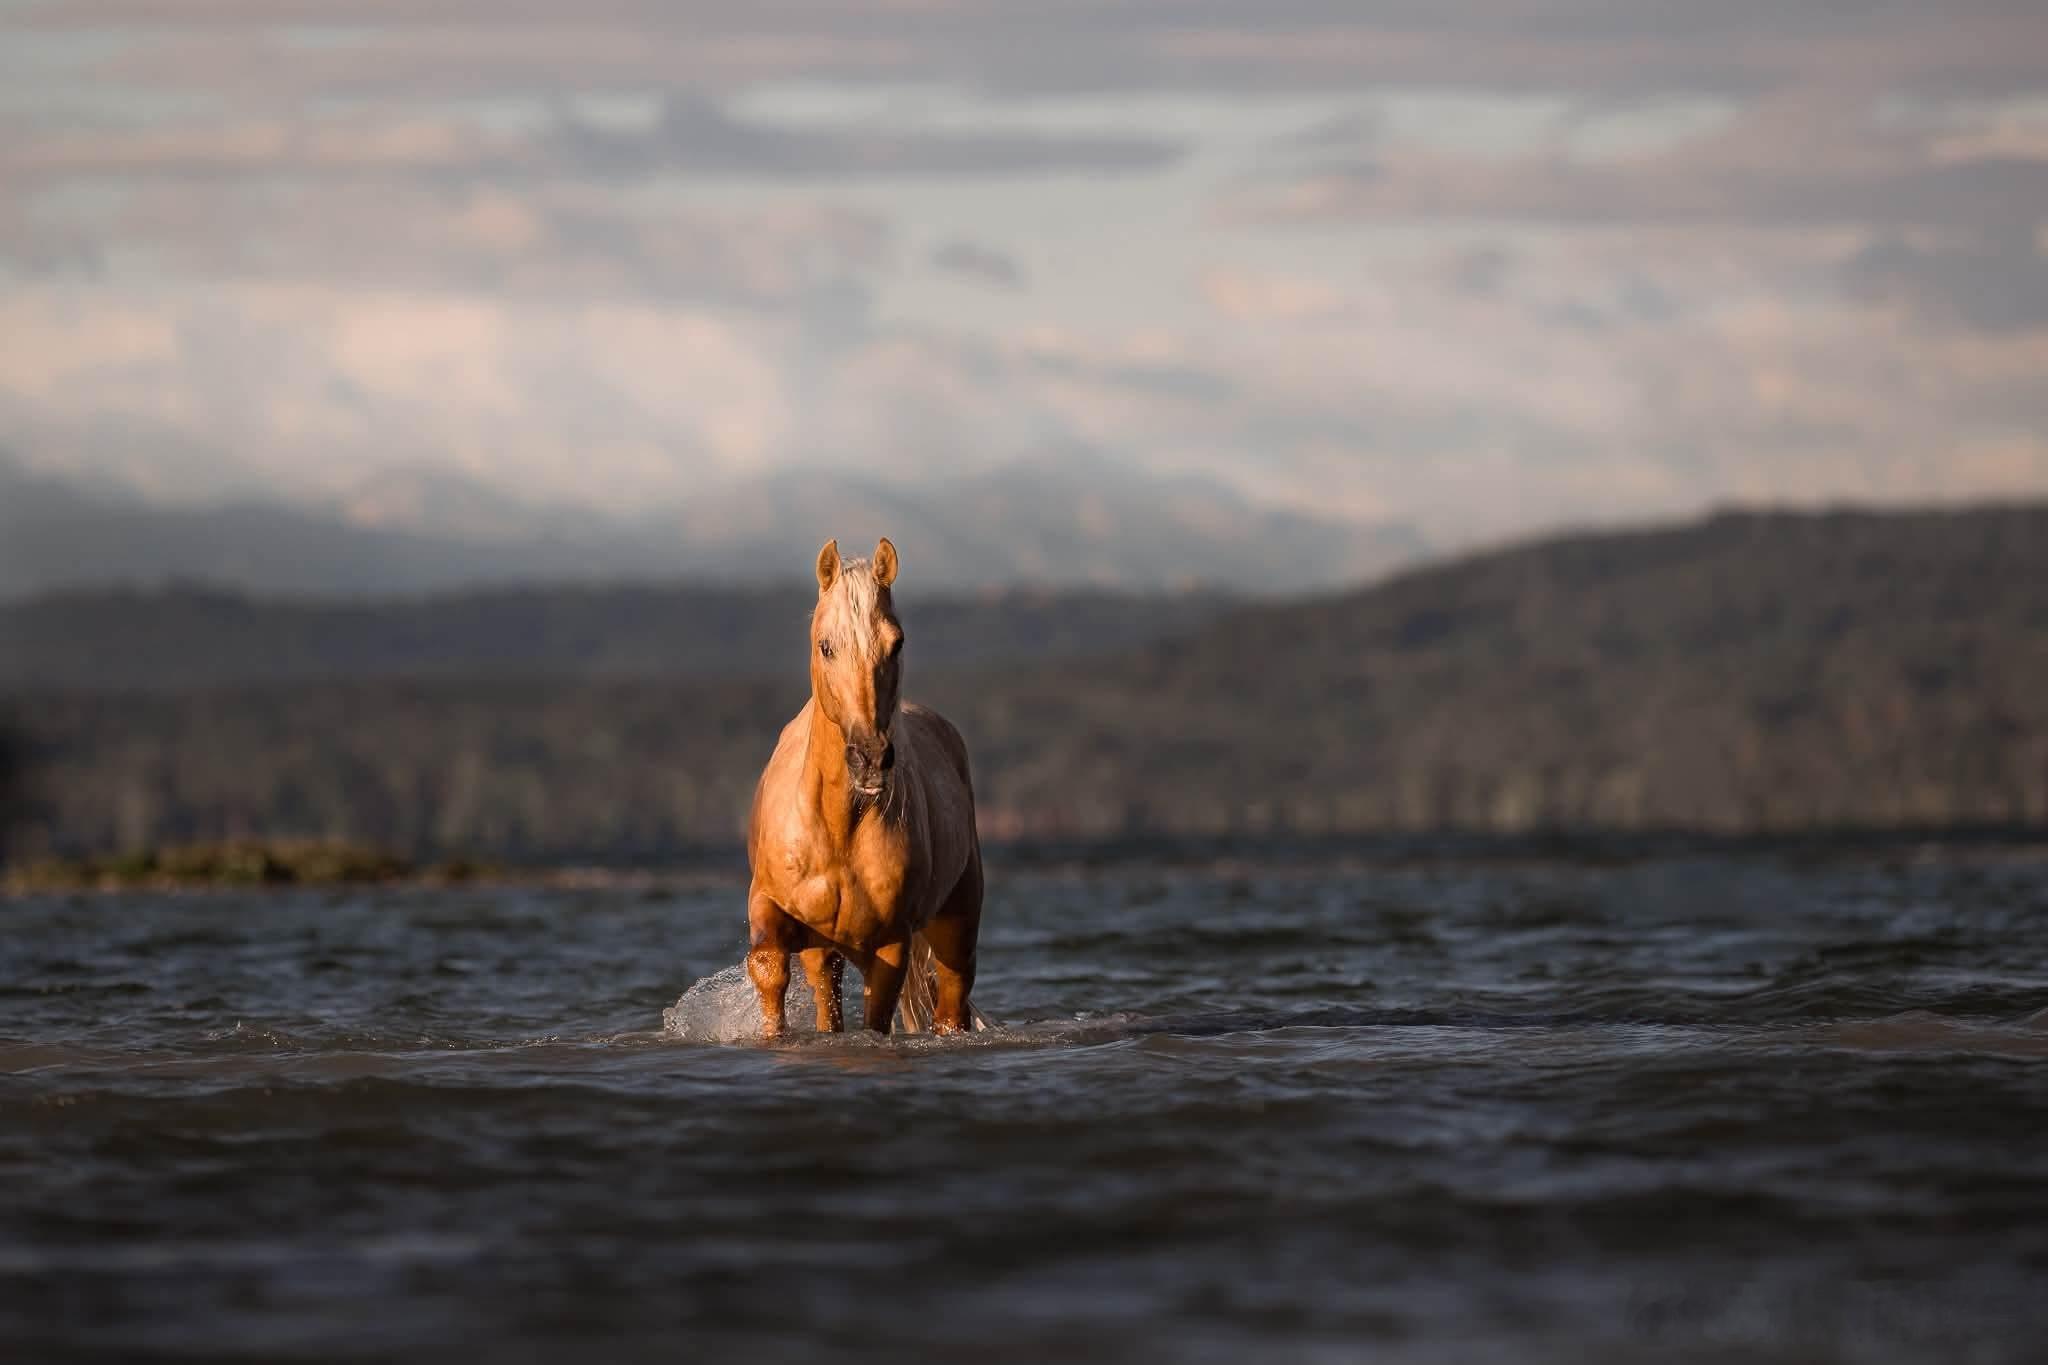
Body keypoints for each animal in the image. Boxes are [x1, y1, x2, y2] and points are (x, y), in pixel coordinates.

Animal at [743, 537, 986, 1038]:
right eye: (825, 646)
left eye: (897, 643)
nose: (870, 758)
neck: (838, 826)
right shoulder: (773, 907)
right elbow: (769, 967)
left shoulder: (891, 944)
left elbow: (878, 1019)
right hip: (825, 953)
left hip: (956, 929)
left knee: (951, 1009)